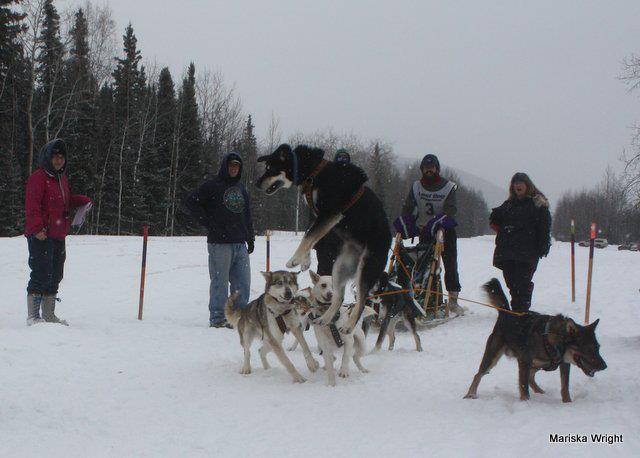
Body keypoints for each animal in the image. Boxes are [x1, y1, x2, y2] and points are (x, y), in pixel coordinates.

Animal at [255, 145, 390, 334]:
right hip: (339, 268)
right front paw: (304, 261)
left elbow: (308, 236)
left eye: (270, 168)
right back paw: (325, 319)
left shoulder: (329, 214)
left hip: (366, 269)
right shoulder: (318, 217)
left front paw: (294, 260)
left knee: (361, 302)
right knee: (339, 298)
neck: (315, 173)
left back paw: (348, 326)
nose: (257, 184)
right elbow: (310, 236)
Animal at [464, 278, 604, 402]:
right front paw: (526, 402)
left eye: (597, 347)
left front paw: (567, 403)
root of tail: (506, 313)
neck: (553, 339)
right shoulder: (524, 361)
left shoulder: (564, 364)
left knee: (531, 377)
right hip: (493, 357)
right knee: (479, 374)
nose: (604, 366)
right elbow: (524, 387)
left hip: (541, 364)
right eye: (588, 349)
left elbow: (565, 386)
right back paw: (470, 394)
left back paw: (540, 392)